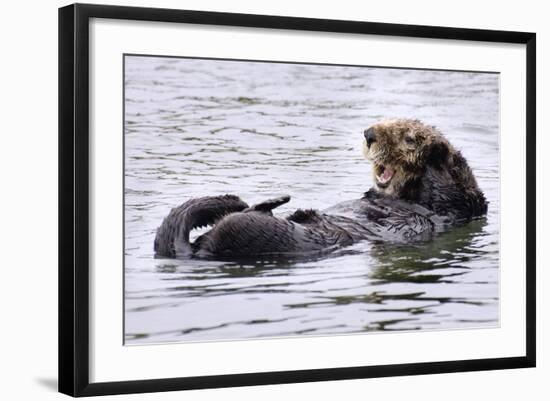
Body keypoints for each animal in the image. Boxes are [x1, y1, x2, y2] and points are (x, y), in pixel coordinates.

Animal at [153, 117, 490, 258]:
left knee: (242, 220)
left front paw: (432, 148)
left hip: (261, 235)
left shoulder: (454, 208)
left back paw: (270, 203)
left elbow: (451, 186)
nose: (369, 133)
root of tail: (195, 252)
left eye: (404, 136)